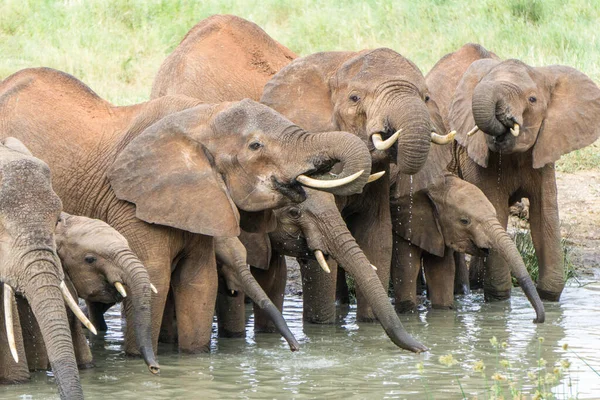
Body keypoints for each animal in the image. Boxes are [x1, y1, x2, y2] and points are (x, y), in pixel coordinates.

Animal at [0, 67, 384, 354]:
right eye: (255, 146)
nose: (295, 349)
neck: (201, 118)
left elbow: (199, 283)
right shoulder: (133, 204)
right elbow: (155, 280)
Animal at [428, 43, 600, 300]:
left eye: (532, 99)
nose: (507, 118)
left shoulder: (545, 145)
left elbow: (545, 214)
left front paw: (549, 299)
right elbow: (496, 207)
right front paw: (499, 299)